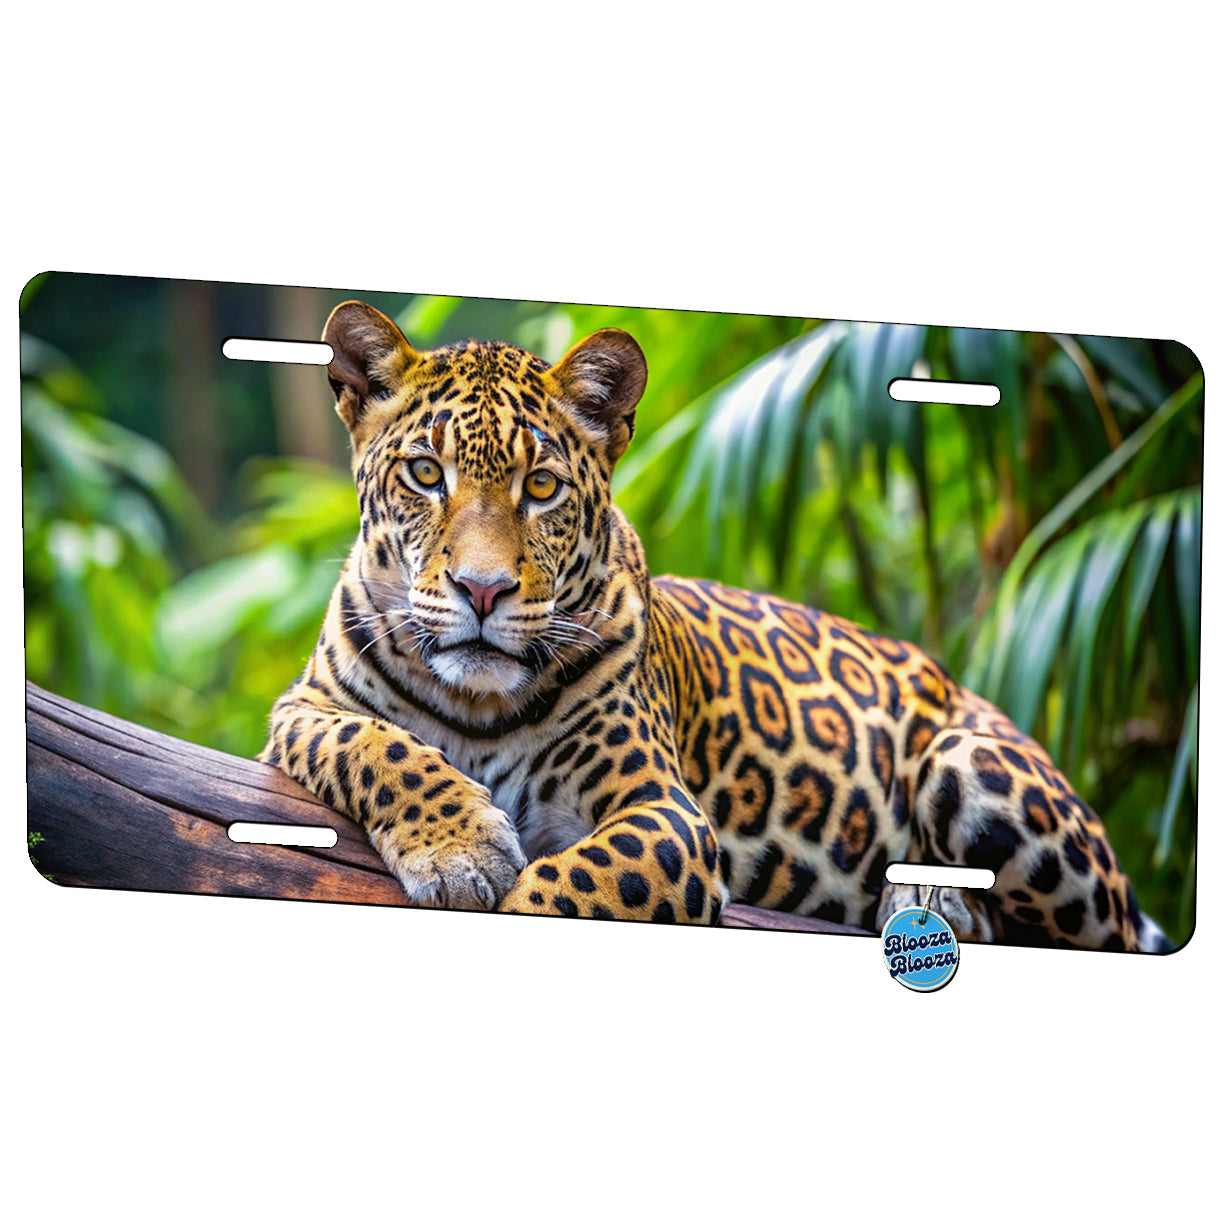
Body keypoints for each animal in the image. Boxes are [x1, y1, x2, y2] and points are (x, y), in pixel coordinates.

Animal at [260, 300, 1171, 952]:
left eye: (543, 487)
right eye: (425, 474)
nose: (483, 590)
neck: (476, 708)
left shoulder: (666, 815)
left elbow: (564, 890)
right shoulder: (301, 712)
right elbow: (376, 746)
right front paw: (460, 846)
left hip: (971, 763)